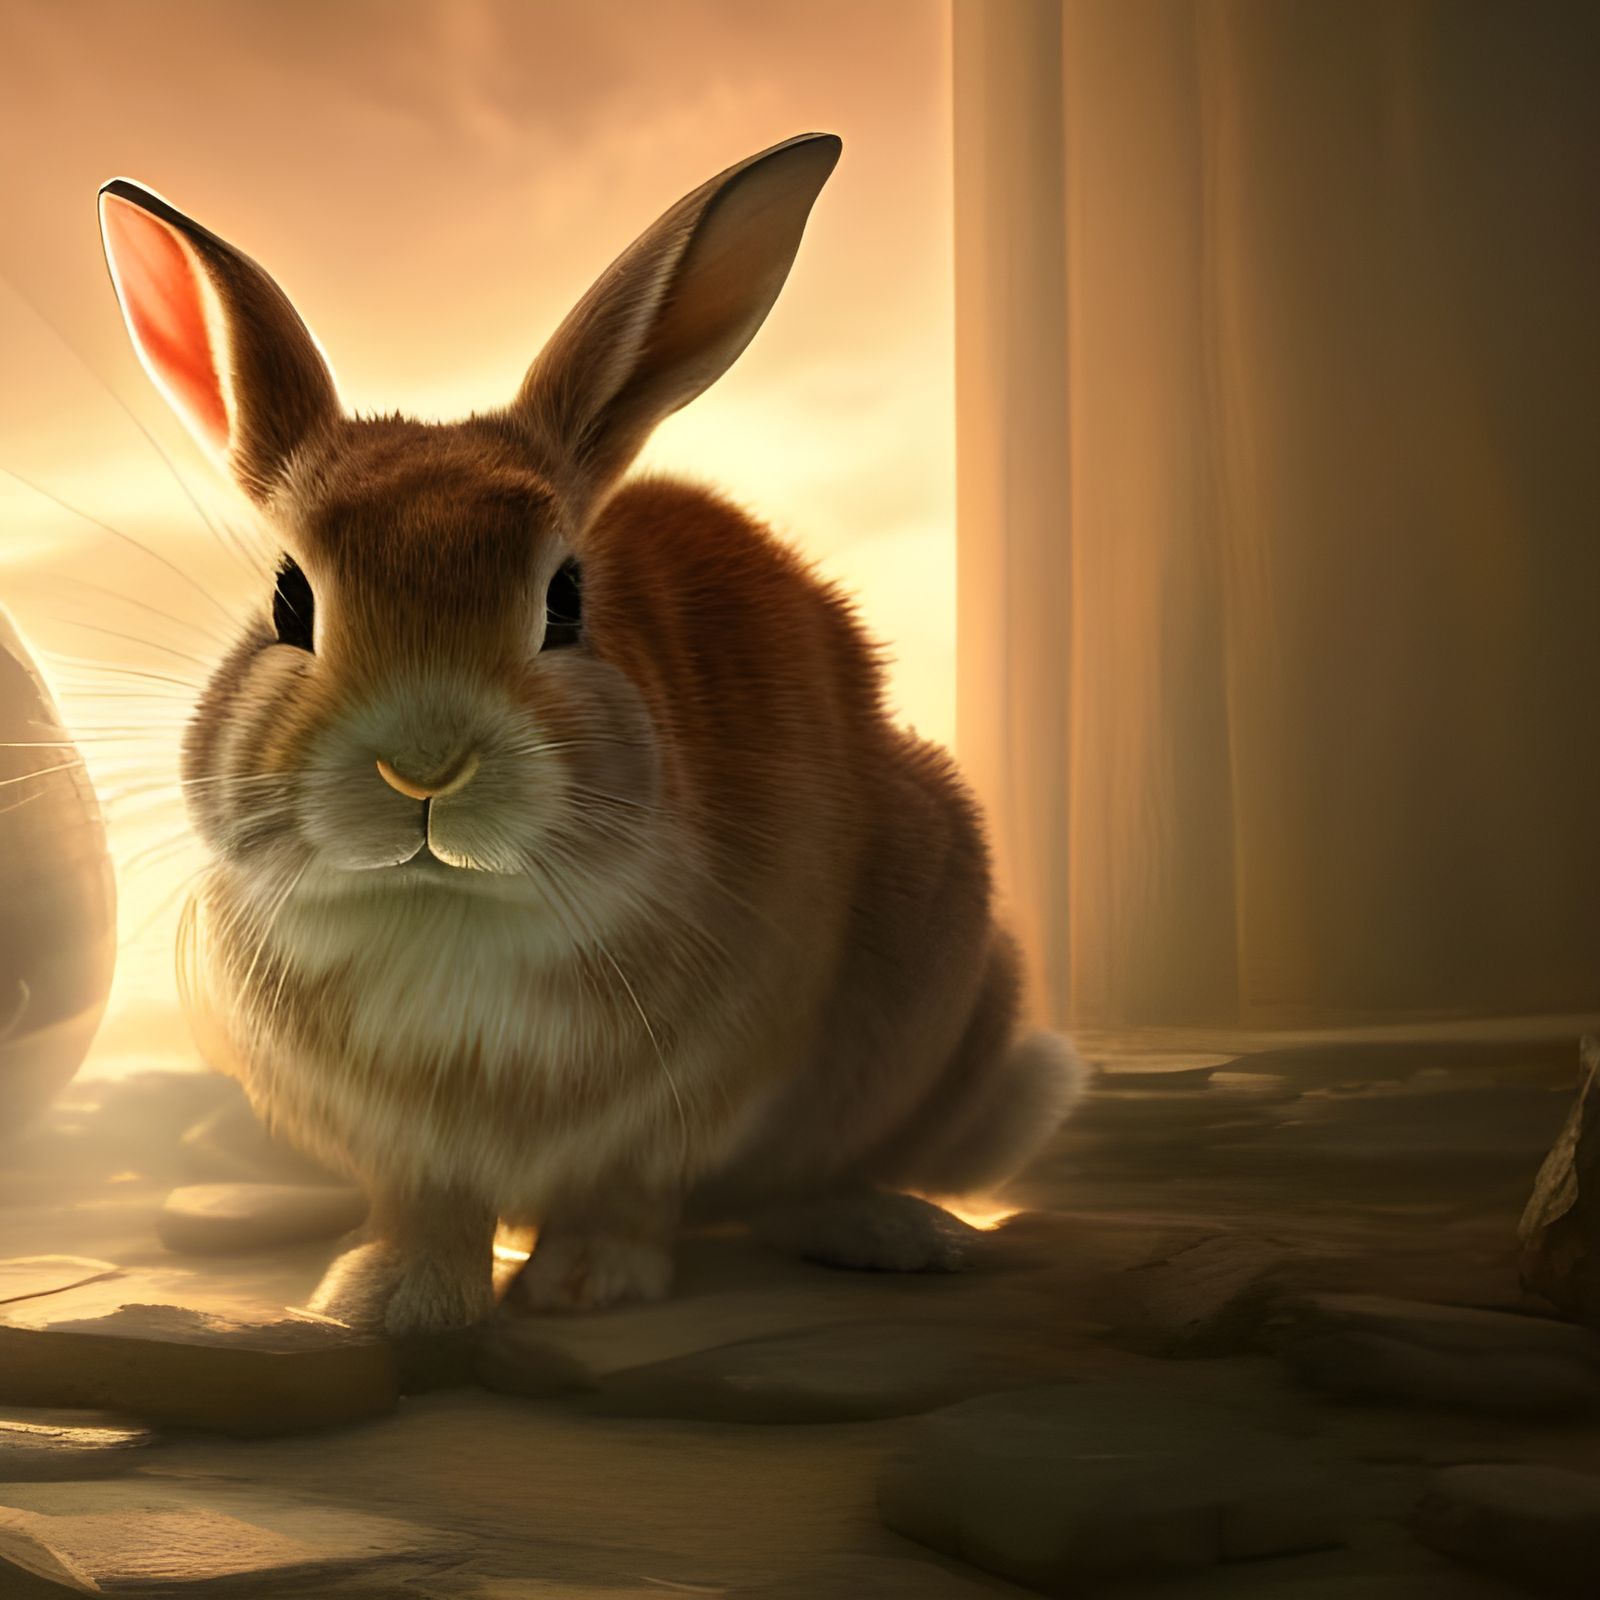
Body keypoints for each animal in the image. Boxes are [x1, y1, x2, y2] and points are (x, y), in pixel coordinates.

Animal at [96, 133, 1085, 1336]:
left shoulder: (697, 1078)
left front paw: (581, 1284)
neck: (449, 912)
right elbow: (423, 1201)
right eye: (290, 602)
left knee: (807, 1175)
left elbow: (630, 1183)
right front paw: (387, 1300)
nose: (422, 765)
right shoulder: (397, 1140)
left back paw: (897, 1232)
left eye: (565, 602)